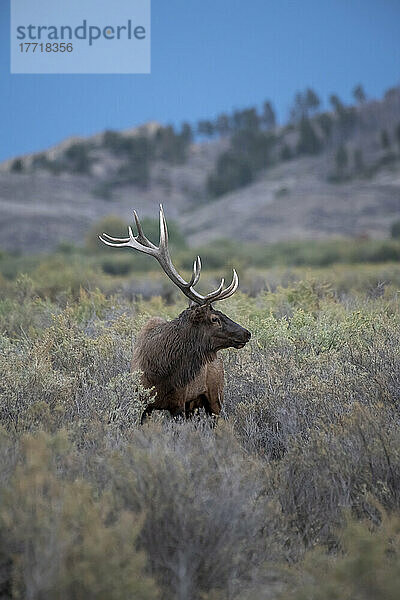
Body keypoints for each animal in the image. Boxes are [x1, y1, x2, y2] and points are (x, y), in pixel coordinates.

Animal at [100, 206, 250, 422]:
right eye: (214, 318)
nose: (247, 333)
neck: (160, 371)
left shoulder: (178, 403)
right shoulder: (142, 403)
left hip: (215, 397)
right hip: (195, 404)